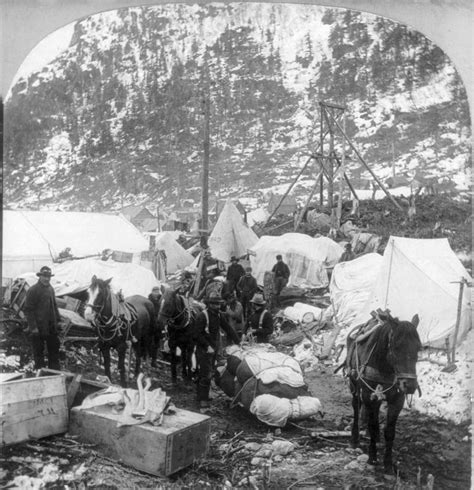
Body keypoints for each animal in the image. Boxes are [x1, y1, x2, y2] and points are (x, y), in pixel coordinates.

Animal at [344, 312, 422, 476]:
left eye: (419, 348)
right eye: (396, 346)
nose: (410, 385)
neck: (384, 366)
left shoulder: (397, 399)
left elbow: (390, 432)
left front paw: (388, 463)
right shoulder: (368, 395)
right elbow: (373, 425)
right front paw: (372, 457)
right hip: (355, 386)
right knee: (356, 407)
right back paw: (355, 438)